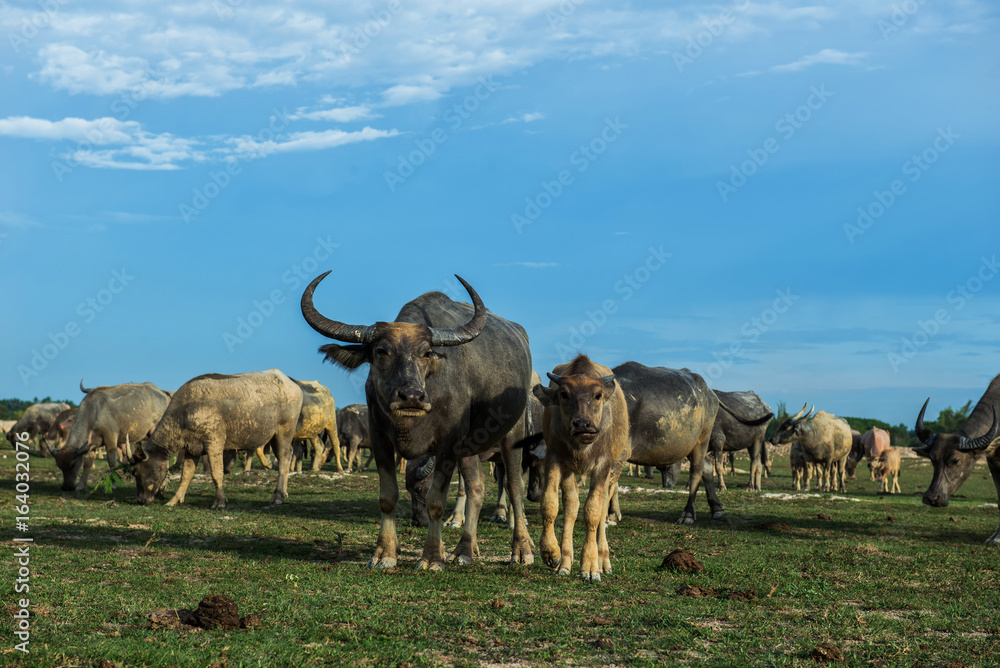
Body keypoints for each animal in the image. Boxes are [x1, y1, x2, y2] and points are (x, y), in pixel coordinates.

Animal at [133, 370, 304, 506]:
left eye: (135, 472)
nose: (141, 500)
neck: (184, 413)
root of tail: (290, 381)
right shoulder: (192, 449)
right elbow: (186, 475)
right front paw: (175, 499)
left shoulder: (214, 443)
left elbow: (216, 473)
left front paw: (220, 501)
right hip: (275, 438)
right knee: (286, 459)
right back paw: (284, 493)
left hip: (284, 433)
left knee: (283, 461)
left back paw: (277, 497)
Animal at [300, 272, 536, 568]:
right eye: (381, 351)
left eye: (426, 353)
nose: (411, 396)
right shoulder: (379, 438)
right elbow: (387, 496)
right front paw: (384, 553)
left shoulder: (447, 444)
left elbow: (437, 501)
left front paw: (433, 557)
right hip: (470, 446)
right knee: (477, 487)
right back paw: (465, 550)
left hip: (513, 434)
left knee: (515, 485)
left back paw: (522, 549)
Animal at [536, 354, 628, 580]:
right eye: (564, 394)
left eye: (597, 395)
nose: (582, 425)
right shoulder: (555, 459)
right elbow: (550, 503)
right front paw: (551, 553)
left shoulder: (602, 465)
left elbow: (593, 512)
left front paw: (590, 567)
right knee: (571, 505)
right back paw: (565, 562)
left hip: (614, 469)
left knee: (603, 507)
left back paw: (603, 560)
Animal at [612, 362, 724, 524]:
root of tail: (710, 393)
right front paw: (612, 514)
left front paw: (610, 515)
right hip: (688, 444)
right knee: (707, 466)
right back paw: (717, 508)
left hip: (703, 436)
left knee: (697, 470)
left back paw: (688, 514)